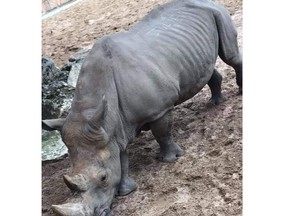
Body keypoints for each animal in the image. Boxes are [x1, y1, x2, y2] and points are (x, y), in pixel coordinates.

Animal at [42, 0, 241, 214]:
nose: (101, 212)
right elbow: (121, 158)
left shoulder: (158, 110)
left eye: (103, 178)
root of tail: (208, 2)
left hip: (216, 12)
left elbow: (162, 133)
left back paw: (239, 92)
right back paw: (215, 103)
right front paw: (126, 191)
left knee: (230, 56)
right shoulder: (109, 130)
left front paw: (169, 159)